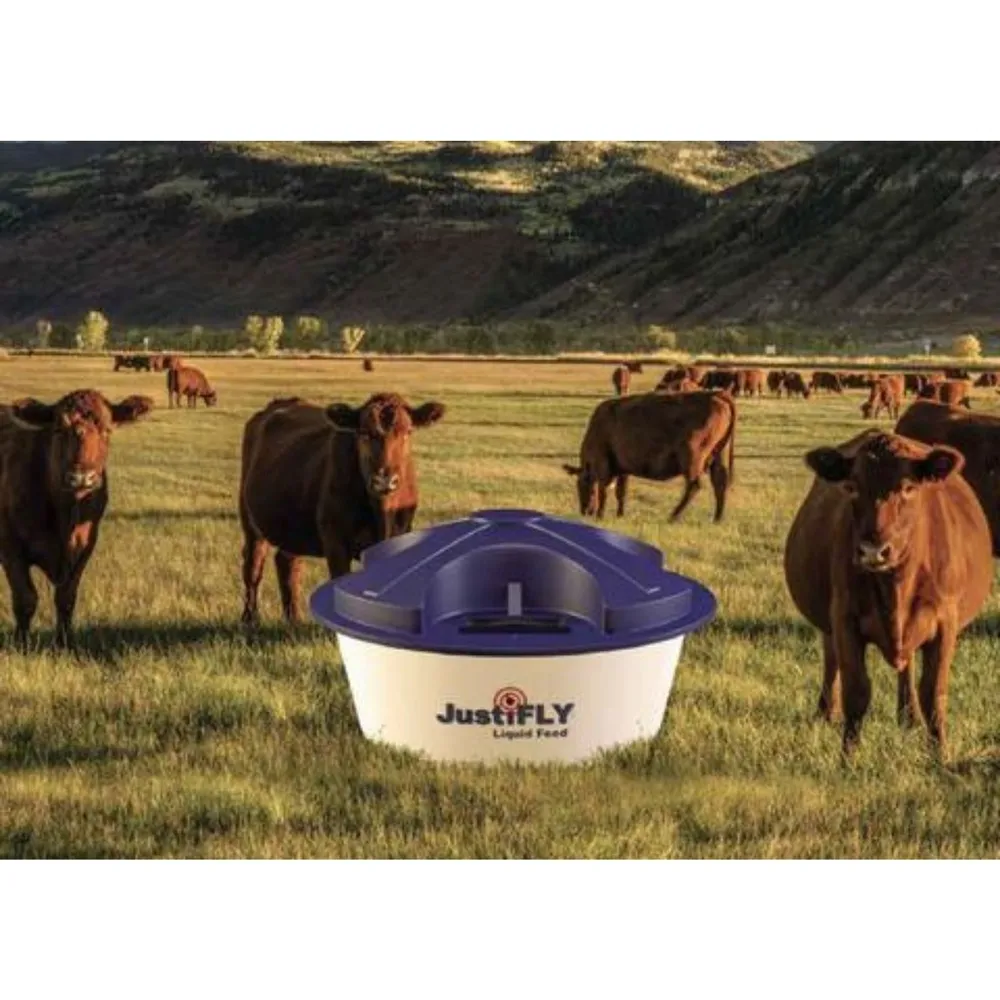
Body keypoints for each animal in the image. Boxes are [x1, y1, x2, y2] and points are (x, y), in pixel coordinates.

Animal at [0, 390, 154, 650]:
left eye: (106, 430)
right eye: (58, 429)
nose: (82, 477)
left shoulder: (86, 545)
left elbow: (66, 598)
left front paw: (64, 643)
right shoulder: (10, 545)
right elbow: (25, 598)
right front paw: (21, 644)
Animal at [238, 393, 446, 624]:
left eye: (408, 431)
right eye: (364, 433)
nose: (385, 480)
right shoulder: (335, 541)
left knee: (287, 562)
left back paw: (294, 619)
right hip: (249, 519)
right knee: (253, 565)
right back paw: (250, 618)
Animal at [561, 390, 736, 523]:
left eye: (581, 485)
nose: (584, 511)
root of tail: (715, 393)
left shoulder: (603, 463)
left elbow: (603, 490)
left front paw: (600, 516)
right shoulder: (623, 468)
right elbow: (621, 492)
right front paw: (620, 515)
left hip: (692, 457)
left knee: (694, 486)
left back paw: (673, 516)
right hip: (718, 456)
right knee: (719, 483)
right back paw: (717, 519)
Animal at [783, 428, 992, 758]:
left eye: (908, 487)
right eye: (852, 487)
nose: (873, 550)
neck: (896, 586)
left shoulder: (945, 622)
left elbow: (933, 693)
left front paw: (939, 757)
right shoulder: (845, 617)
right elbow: (857, 691)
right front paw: (848, 758)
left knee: (907, 668)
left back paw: (909, 717)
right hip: (829, 622)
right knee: (831, 659)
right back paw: (827, 711)